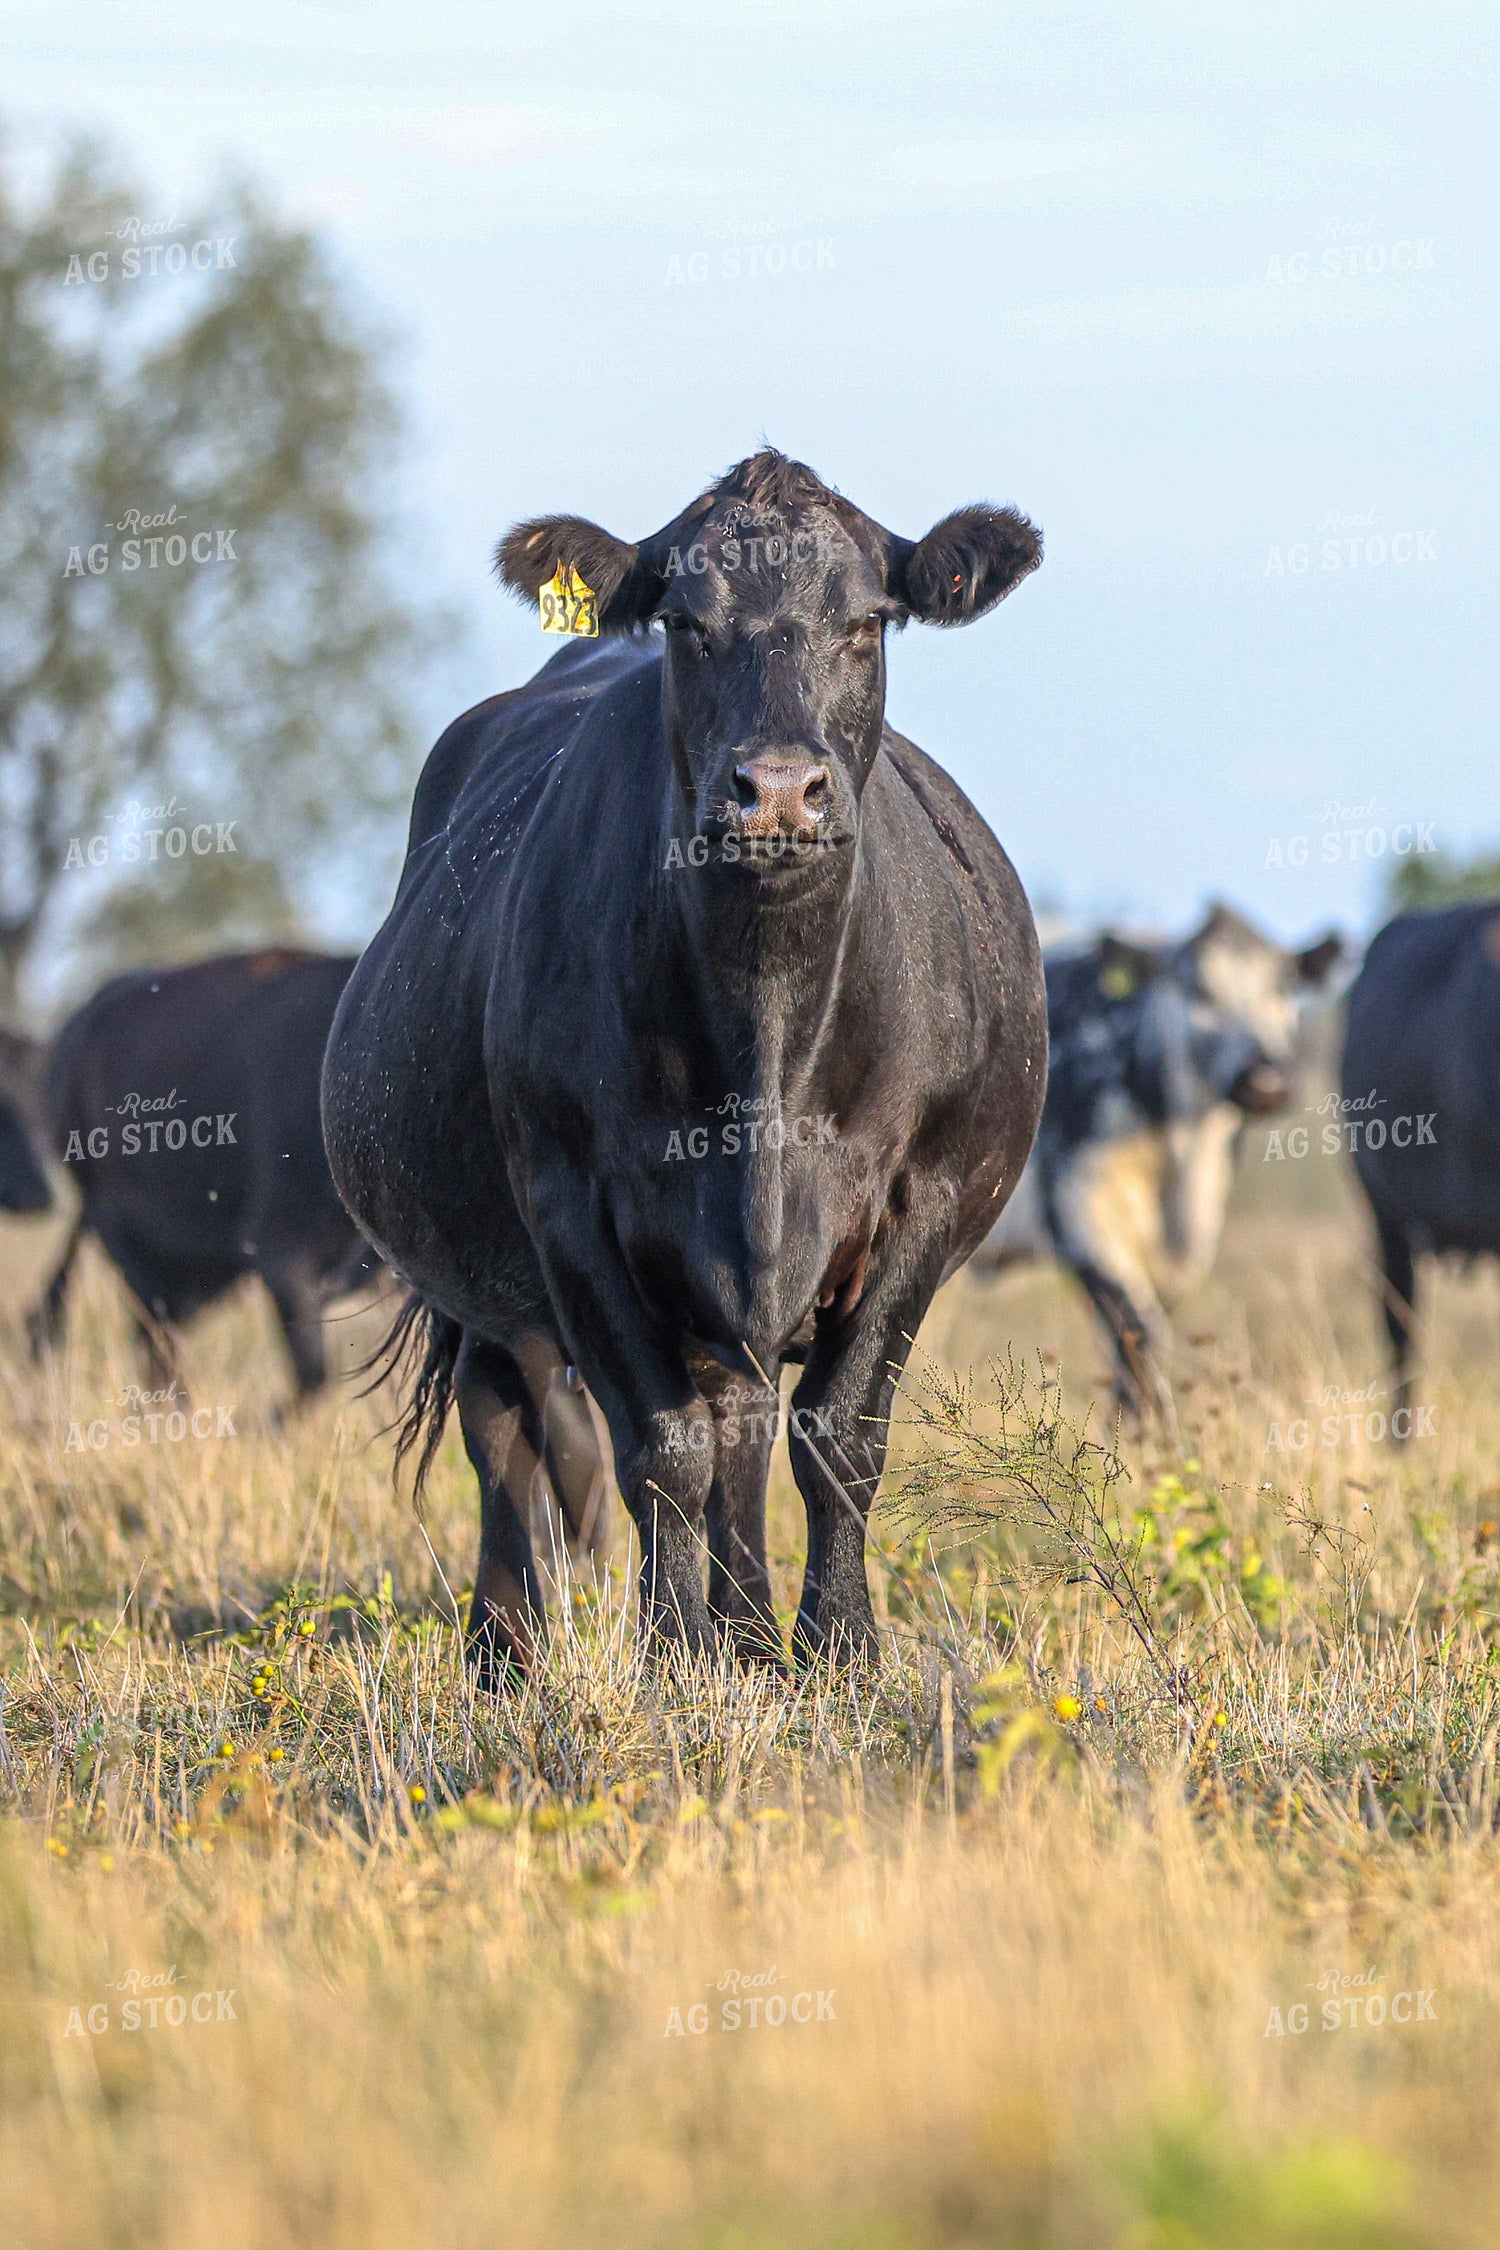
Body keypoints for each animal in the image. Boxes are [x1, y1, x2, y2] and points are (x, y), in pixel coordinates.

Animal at [322, 447, 1048, 1684]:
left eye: (868, 621)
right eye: (684, 623)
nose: (779, 790)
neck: (767, 1042)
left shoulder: (927, 1200)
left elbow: (836, 1438)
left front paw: (836, 1651)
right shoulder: (572, 1205)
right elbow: (659, 1449)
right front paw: (671, 1658)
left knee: (743, 1428)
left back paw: (749, 1638)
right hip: (479, 1275)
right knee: (506, 1426)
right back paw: (507, 1650)